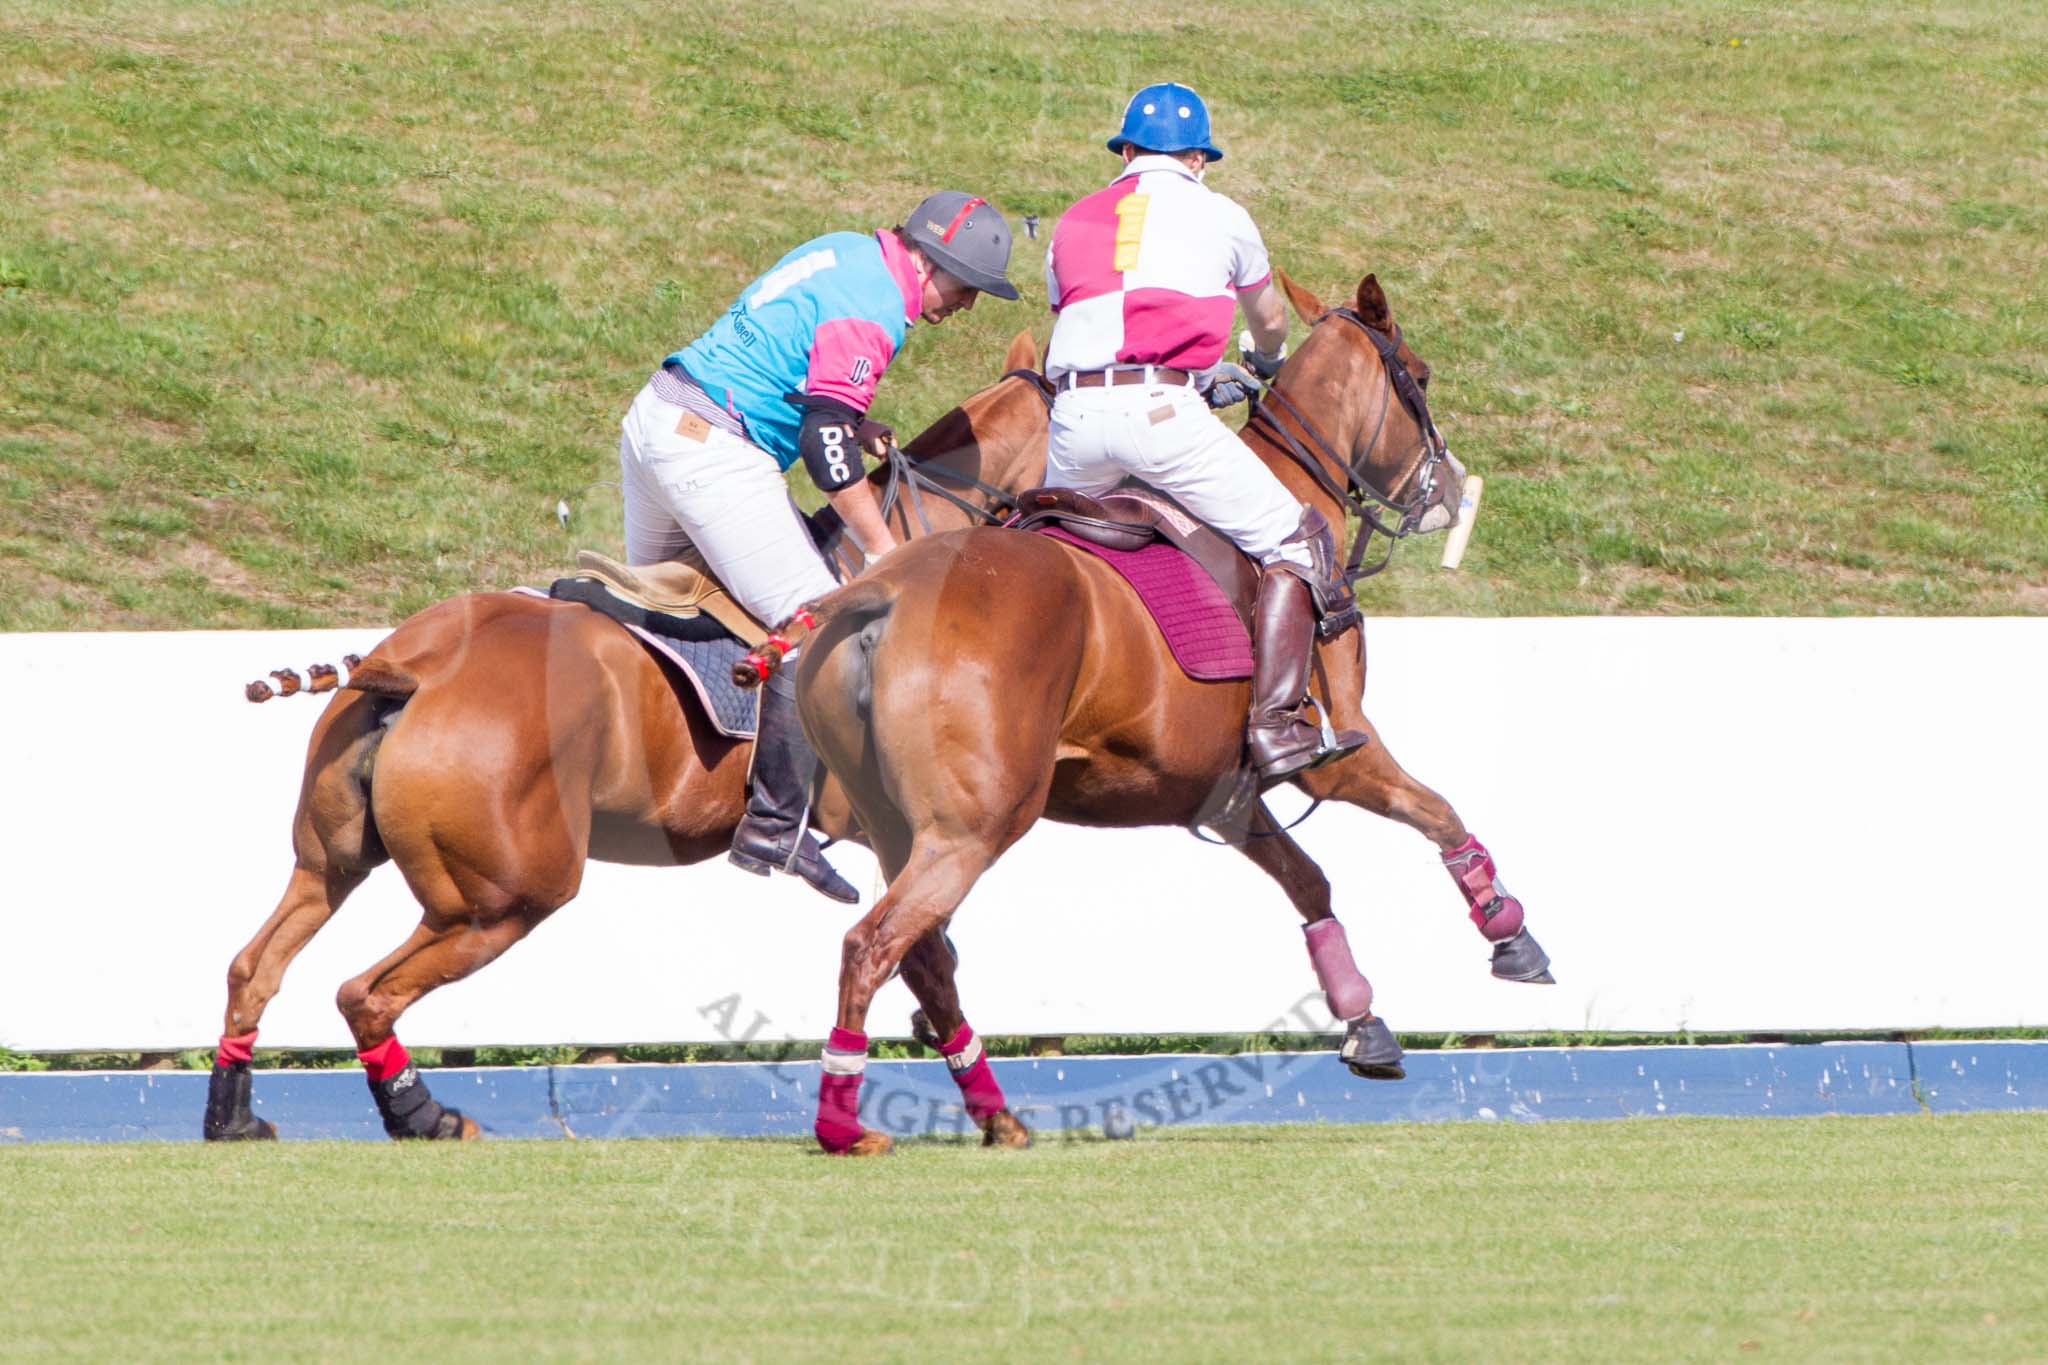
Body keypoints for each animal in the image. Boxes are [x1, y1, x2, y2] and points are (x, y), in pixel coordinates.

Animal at [203, 331, 1056, 1146]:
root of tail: (413, 665)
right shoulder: (898, 826)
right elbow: (925, 954)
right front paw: (990, 1109)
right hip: (503, 900)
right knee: (365, 993)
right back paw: (426, 1114)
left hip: (333, 860)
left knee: (254, 965)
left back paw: (233, 1114)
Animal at [794, 274, 1548, 1154]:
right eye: (1419, 377)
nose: (1449, 490)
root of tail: (878, 592)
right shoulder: (1341, 752)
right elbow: (1439, 811)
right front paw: (1509, 931)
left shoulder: (1224, 795)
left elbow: (1311, 883)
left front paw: (1365, 1023)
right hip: (972, 825)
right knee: (874, 944)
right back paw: (847, 1122)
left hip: (895, 824)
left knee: (921, 956)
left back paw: (995, 1113)